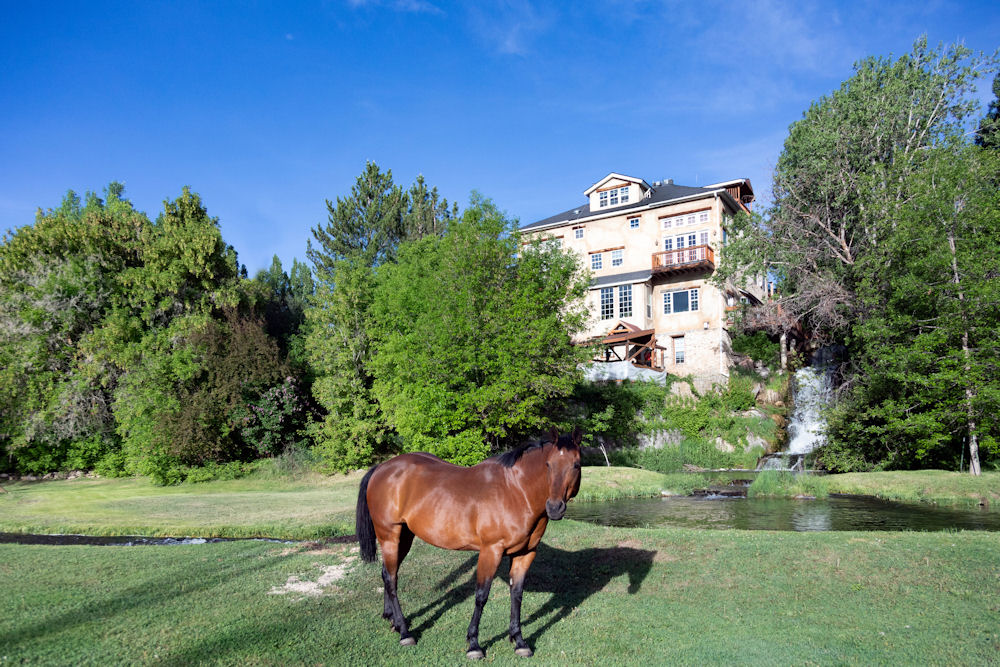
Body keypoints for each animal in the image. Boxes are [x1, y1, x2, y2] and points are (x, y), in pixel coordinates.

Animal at [356, 430, 584, 660]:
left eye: (576, 464)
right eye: (548, 464)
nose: (554, 507)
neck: (517, 491)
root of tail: (382, 468)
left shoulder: (525, 553)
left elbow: (517, 595)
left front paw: (519, 641)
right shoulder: (491, 551)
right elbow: (481, 596)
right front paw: (474, 644)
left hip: (404, 537)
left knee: (387, 573)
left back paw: (392, 619)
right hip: (389, 537)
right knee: (391, 579)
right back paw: (405, 632)